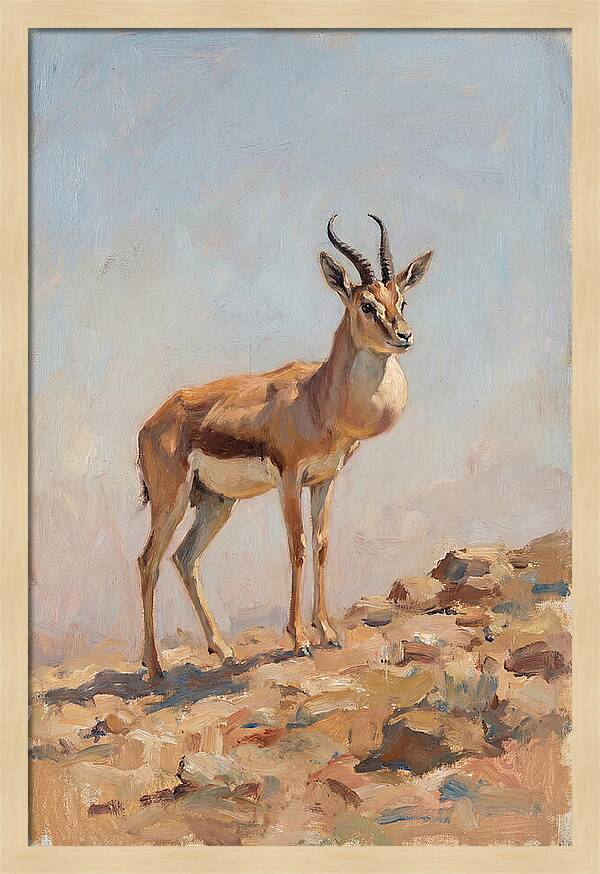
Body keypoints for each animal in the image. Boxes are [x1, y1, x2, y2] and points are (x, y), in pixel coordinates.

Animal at [137, 215, 433, 680]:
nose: (404, 335)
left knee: (184, 559)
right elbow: (296, 547)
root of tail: (152, 422)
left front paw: (327, 631)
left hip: (215, 502)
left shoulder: (325, 480)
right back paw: (154, 668)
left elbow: (323, 545)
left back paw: (224, 650)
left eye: (401, 298)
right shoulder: (290, 479)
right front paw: (299, 640)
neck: (317, 397)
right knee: (148, 562)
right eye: (366, 304)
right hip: (172, 500)